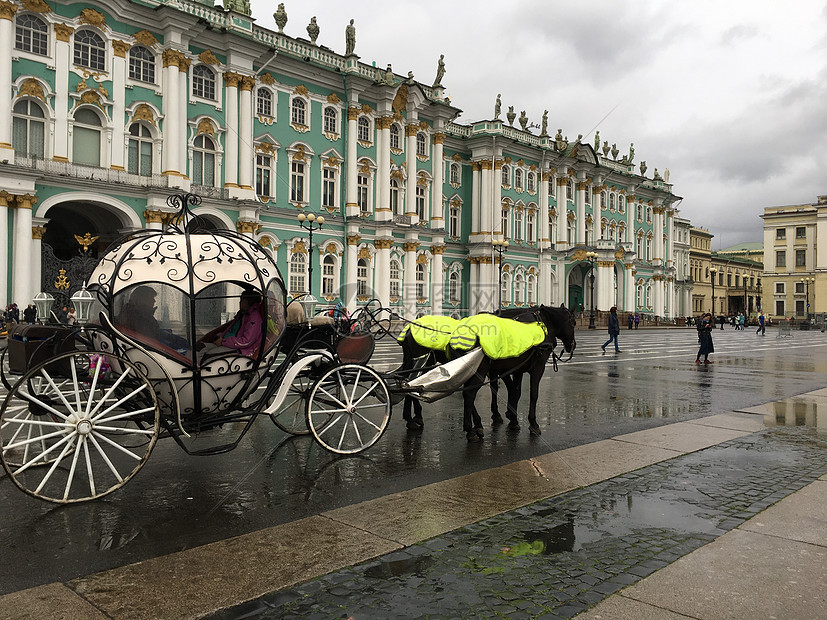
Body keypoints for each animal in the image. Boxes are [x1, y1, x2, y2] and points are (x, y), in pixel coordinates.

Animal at [450, 306, 580, 440]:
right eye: (573, 322)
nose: (573, 346)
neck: (543, 323)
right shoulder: (537, 368)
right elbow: (533, 394)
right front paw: (532, 423)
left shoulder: (517, 369)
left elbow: (515, 391)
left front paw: (513, 419)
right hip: (479, 370)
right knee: (469, 394)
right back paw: (471, 430)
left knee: (468, 392)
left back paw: (478, 425)